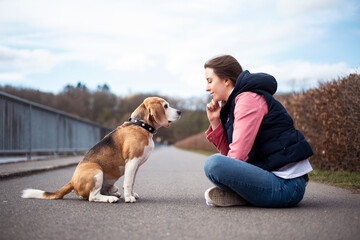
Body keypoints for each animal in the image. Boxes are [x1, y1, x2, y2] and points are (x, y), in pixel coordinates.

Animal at [21, 97, 181, 202]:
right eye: (165, 106)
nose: (180, 111)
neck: (140, 125)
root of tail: (72, 181)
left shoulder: (135, 166)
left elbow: (132, 182)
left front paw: (131, 194)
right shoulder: (132, 162)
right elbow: (128, 182)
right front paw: (129, 198)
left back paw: (113, 193)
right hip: (96, 170)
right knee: (93, 197)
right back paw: (109, 199)